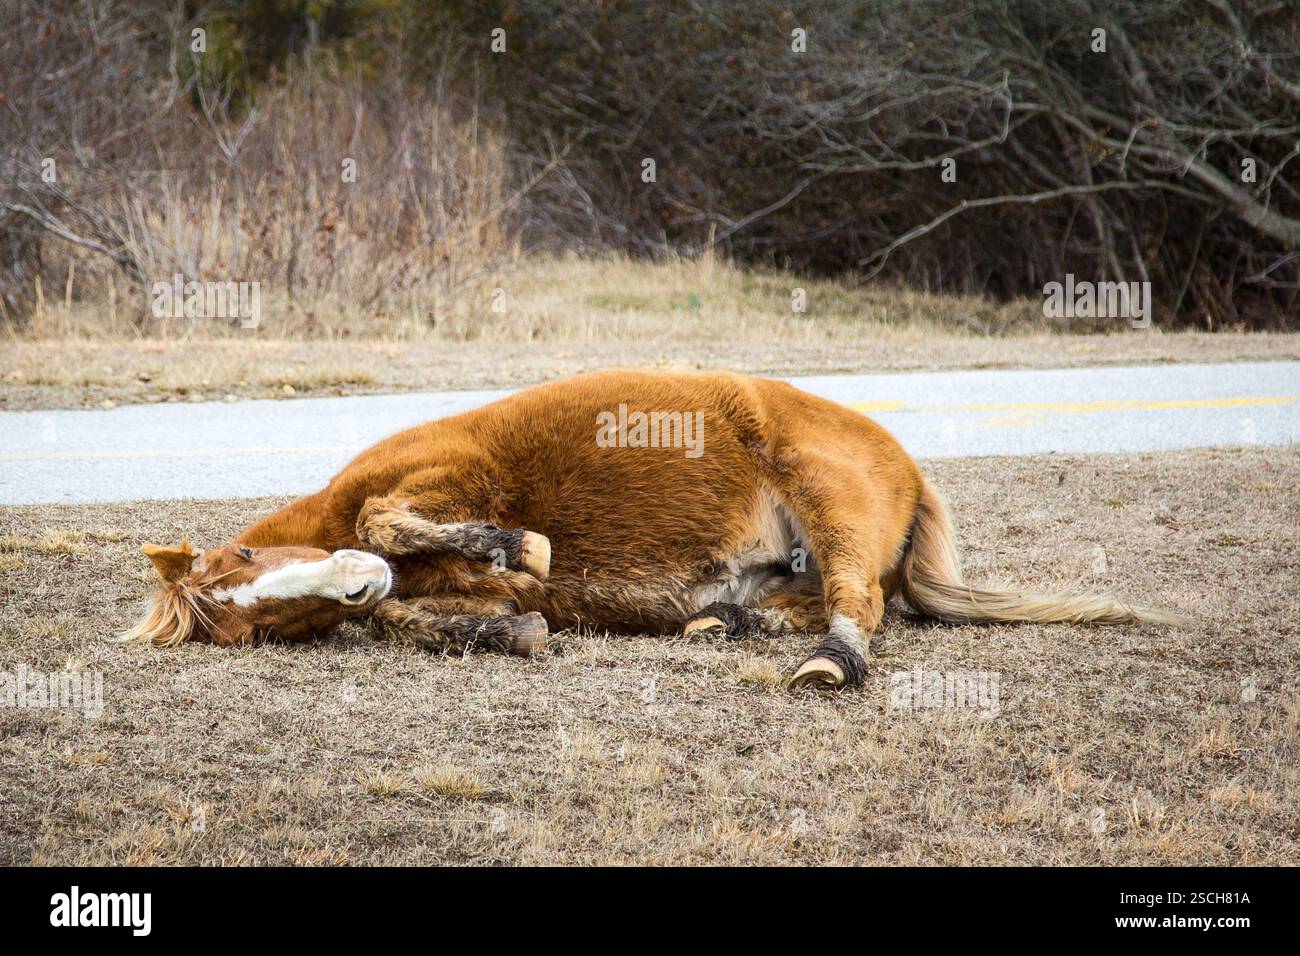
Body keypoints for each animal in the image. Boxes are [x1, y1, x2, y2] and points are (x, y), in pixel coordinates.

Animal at [121, 370, 1182, 690]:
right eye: (253, 622)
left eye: (247, 556)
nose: (352, 581)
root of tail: (908, 464)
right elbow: (427, 616)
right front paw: (504, 627)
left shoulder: (446, 479)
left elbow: (396, 519)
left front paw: (515, 545)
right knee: (805, 601)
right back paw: (727, 622)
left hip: (826, 499)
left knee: (857, 605)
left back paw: (828, 663)